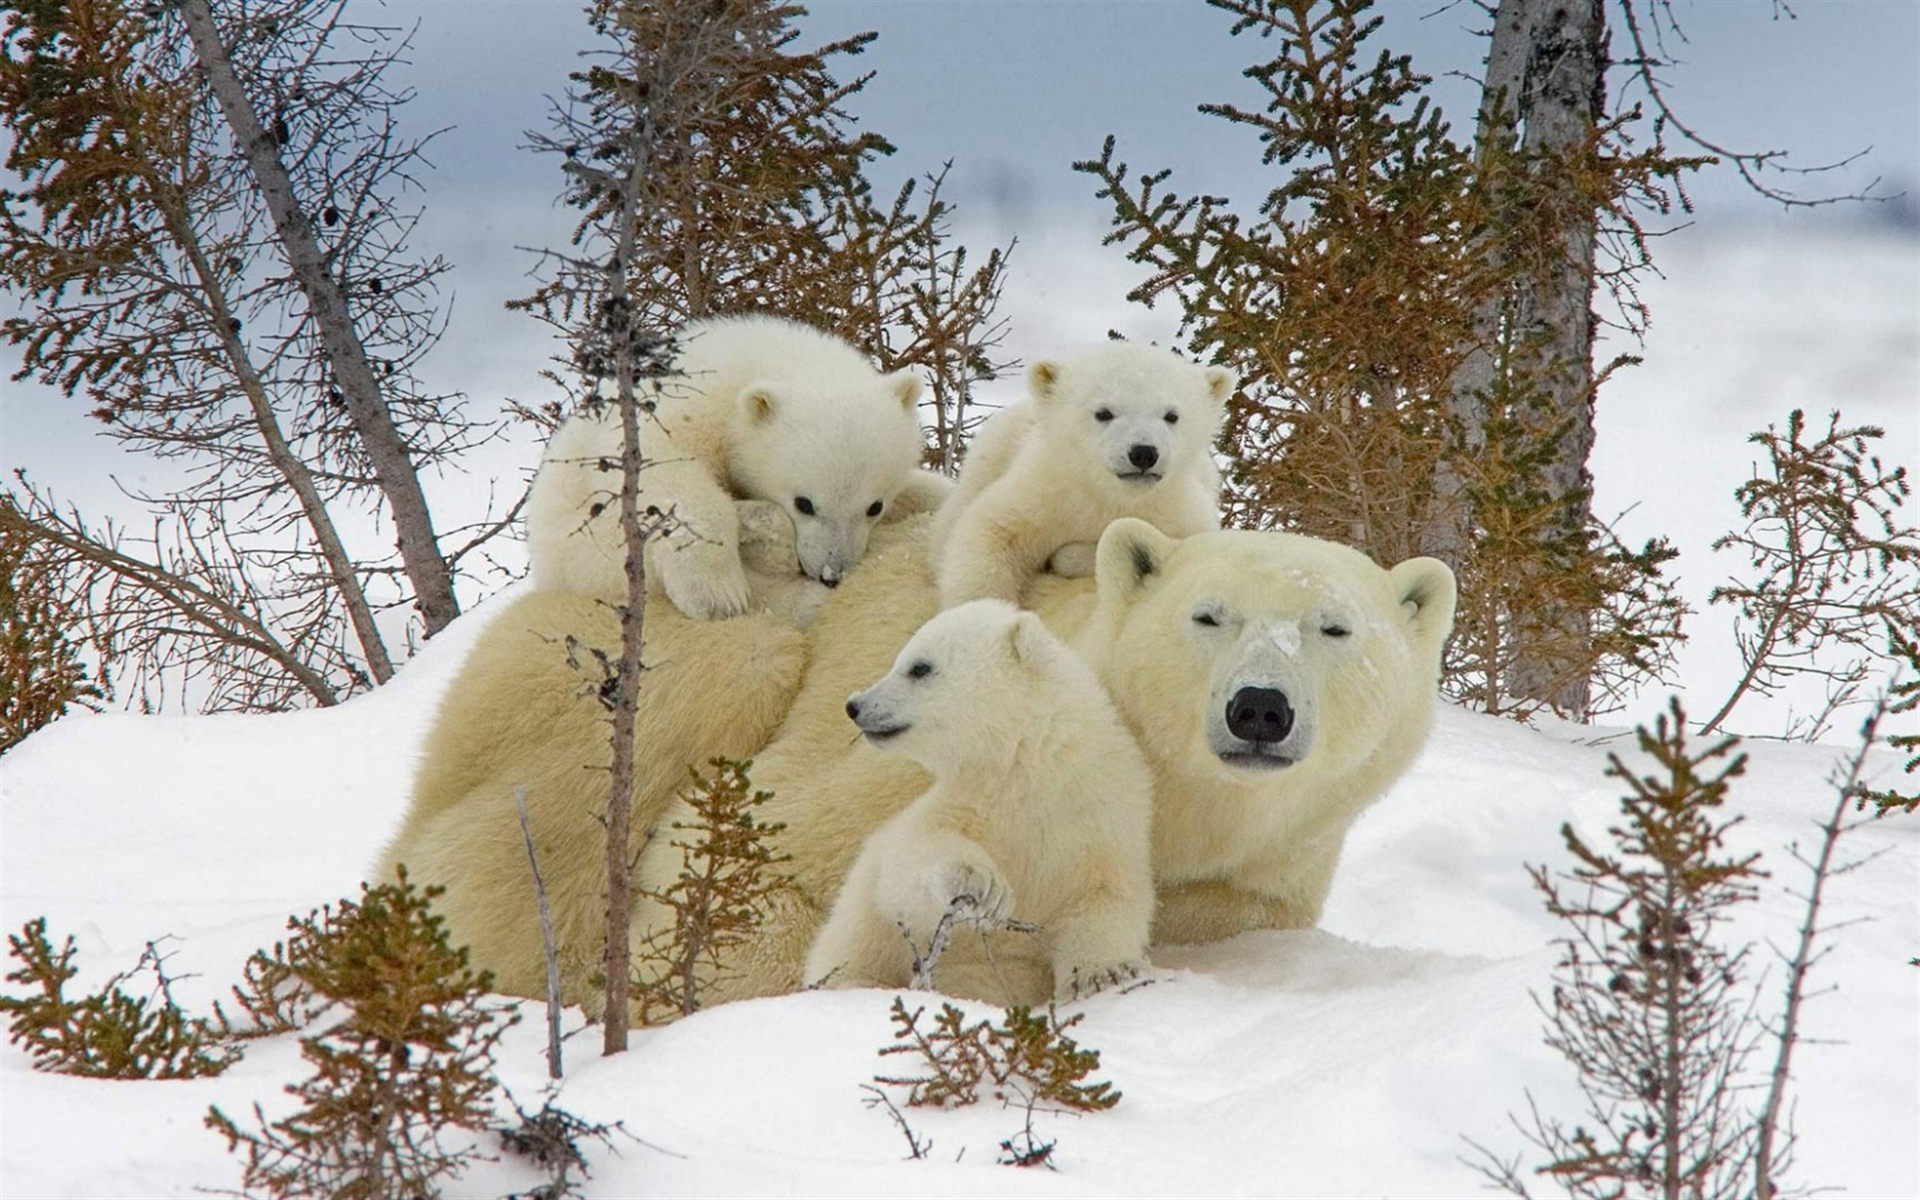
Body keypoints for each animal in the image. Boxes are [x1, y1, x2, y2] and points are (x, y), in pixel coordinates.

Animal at [378, 514, 1451, 1013]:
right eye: (1208, 615)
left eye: (1334, 627)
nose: (1259, 708)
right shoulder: (916, 759)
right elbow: (774, 861)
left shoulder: (1262, 876)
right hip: (618, 661)